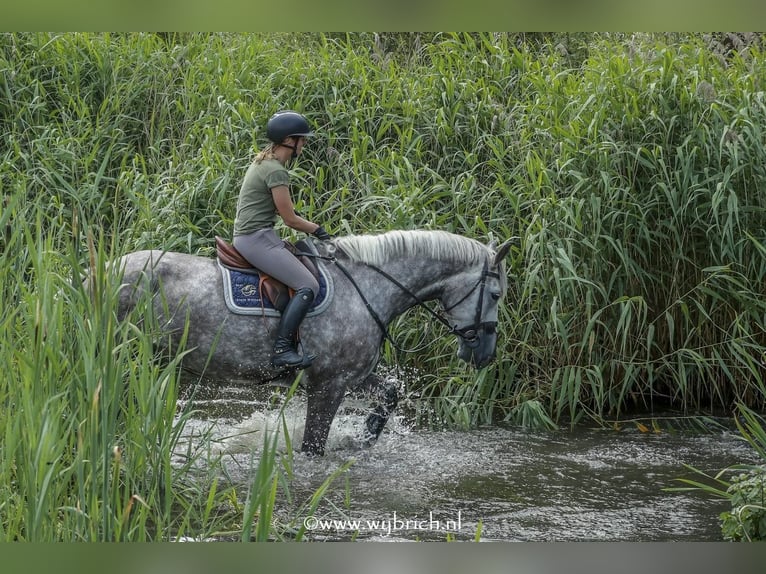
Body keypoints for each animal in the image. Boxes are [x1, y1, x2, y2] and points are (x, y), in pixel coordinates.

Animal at [114, 230, 513, 456]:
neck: (368, 288)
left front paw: (365, 437)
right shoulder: (328, 385)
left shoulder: (352, 376)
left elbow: (390, 393)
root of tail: (105, 268)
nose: (485, 354)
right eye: (495, 295)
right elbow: (312, 447)